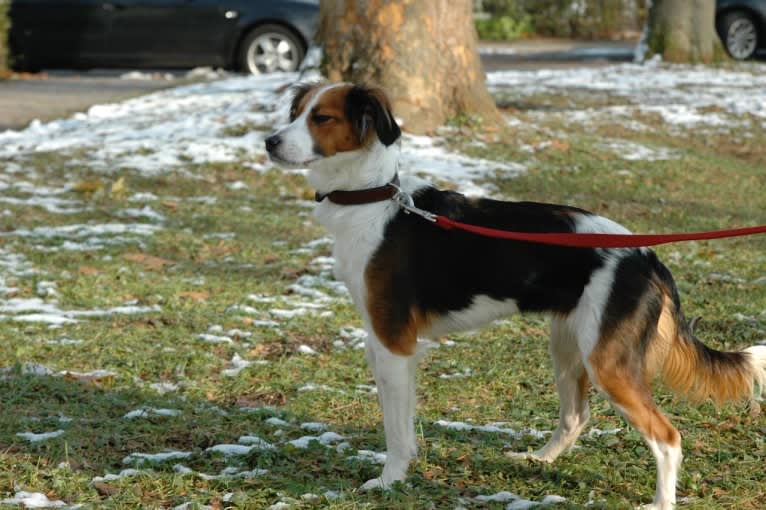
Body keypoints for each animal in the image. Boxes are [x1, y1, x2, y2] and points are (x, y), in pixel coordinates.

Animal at [266, 81, 766, 508]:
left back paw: (660, 501)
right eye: (295, 112)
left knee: (667, 438)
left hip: (607, 363)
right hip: (567, 349)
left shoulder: (394, 345)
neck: (373, 200)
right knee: (576, 416)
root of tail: (646, 257)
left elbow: (395, 430)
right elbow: (402, 424)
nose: (270, 141)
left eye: (322, 118)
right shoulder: (381, 344)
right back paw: (537, 459)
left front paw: (390, 480)